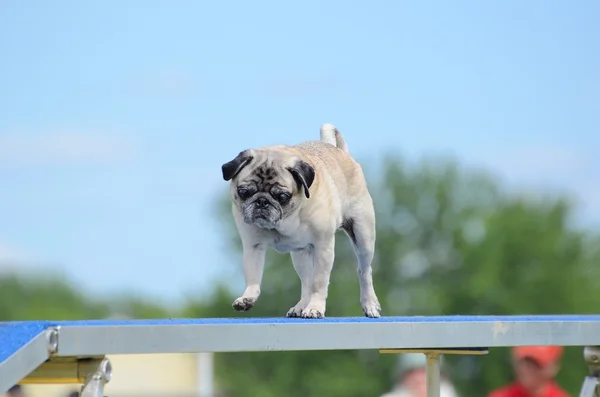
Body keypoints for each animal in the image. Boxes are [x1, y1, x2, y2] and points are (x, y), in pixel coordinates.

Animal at [220, 122, 380, 318]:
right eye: (244, 192)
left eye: (282, 196)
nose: (262, 202)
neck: (285, 222)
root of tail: (339, 151)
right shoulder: (253, 247)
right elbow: (253, 277)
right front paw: (247, 298)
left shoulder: (323, 247)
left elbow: (319, 282)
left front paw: (315, 307)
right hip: (300, 255)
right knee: (306, 282)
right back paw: (301, 306)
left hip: (363, 236)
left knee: (364, 271)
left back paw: (369, 304)